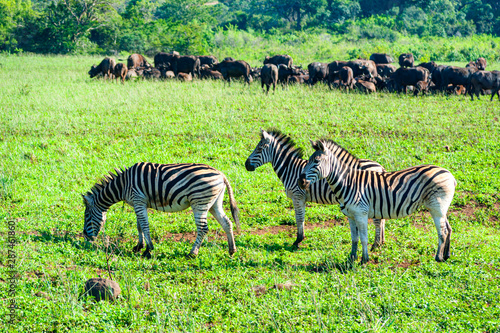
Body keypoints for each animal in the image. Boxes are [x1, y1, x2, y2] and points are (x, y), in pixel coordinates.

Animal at [81, 162, 240, 258]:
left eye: (87, 216)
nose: (86, 237)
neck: (123, 185)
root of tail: (221, 174)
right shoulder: (139, 203)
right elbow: (139, 226)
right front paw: (139, 246)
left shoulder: (138, 199)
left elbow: (144, 225)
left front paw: (148, 249)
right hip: (214, 203)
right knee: (227, 223)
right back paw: (232, 250)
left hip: (199, 202)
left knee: (203, 228)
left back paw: (192, 253)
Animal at [246, 129, 386, 249]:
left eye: (259, 149)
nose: (246, 165)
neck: (290, 169)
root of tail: (380, 167)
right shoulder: (301, 198)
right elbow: (301, 218)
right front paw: (300, 238)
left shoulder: (298, 197)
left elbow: (299, 218)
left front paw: (298, 240)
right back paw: (381, 242)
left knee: (378, 221)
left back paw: (376, 244)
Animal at [296, 139, 458, 264]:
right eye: (308, 161)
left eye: (316, 161)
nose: (300, 181)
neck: (348, 182)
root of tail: (449, 174)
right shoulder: (350, 216)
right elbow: (354, 238)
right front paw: (351, 257)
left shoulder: (361, 213)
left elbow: (363, 238)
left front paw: (364, 259)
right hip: (441, 208)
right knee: (448, 228)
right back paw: (446, 255)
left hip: (436, 207)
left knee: (442, 232)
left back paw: (438, 258)